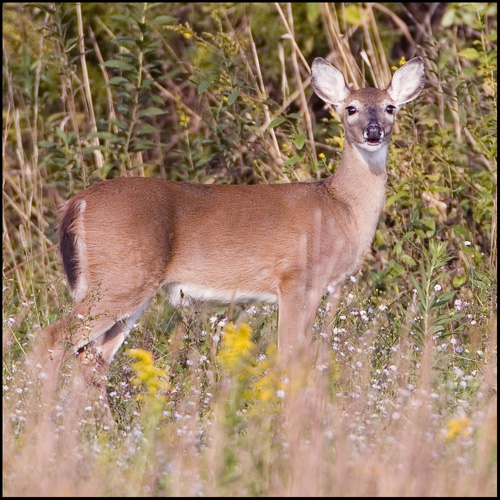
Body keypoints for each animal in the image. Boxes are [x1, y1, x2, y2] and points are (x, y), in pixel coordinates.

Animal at [39, 55, 424, 410]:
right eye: (350, 108)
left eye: (390, 107)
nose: (373, 132)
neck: (340, 207)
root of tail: (77, 203)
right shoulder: (295, 277)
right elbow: (290, 356)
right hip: (120, 278)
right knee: (55, 338)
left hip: (126, 287)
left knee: (92, 358)